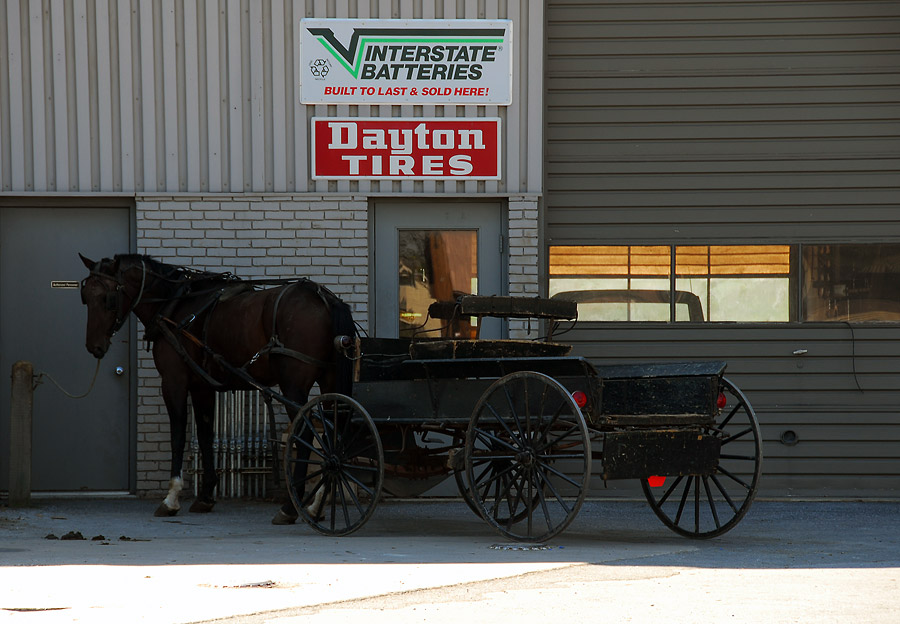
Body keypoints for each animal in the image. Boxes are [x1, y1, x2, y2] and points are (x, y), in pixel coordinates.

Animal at [80, 251, 356, 520]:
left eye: (107, 298)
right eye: (85, 298)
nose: (94, 346)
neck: (175, 304)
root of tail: (325, 299)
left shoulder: (173, 381)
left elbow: (178, 436)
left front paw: (171, 497)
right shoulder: (201, 386)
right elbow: (205, 435)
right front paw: (205, 496)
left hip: (293, 386)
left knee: (306, 435)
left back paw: (291, 506)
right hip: (329, 381)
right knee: (331, 433)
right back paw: (317, 504)